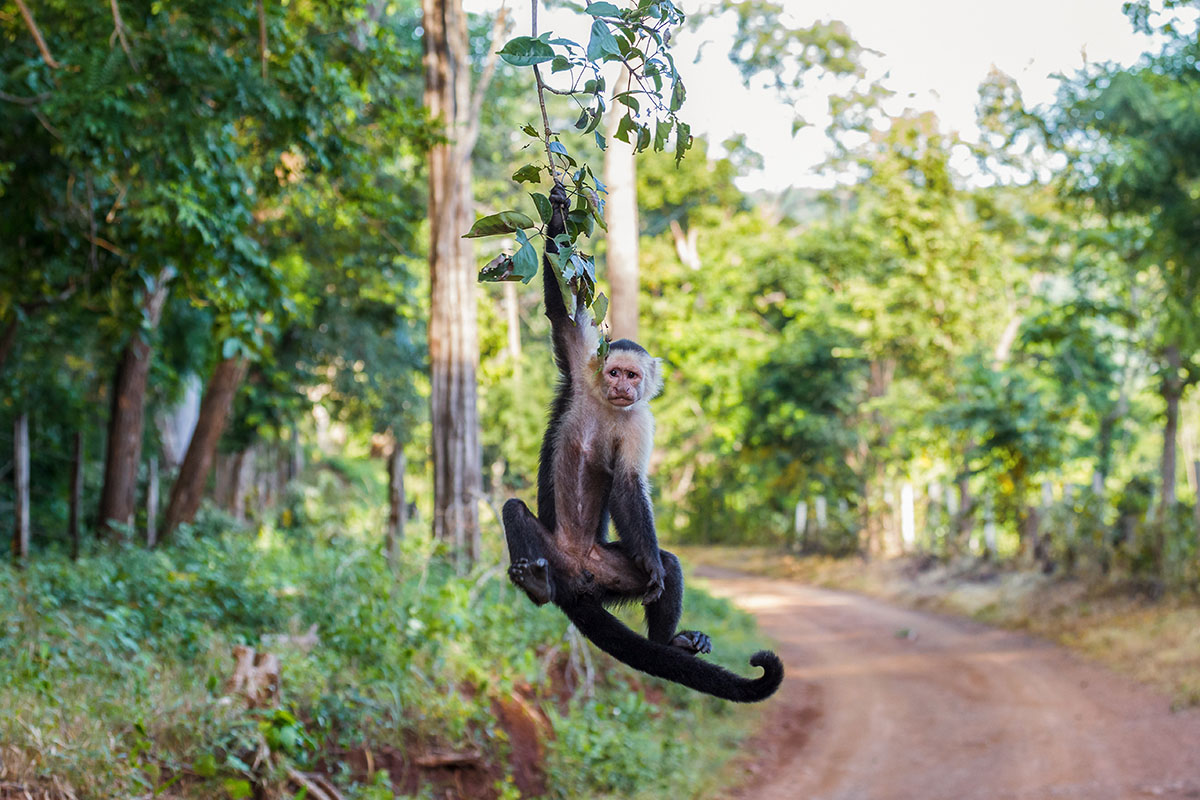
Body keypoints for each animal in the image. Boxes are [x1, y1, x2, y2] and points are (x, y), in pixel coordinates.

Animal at [501, 184, 782, 705]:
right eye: (614, 372)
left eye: (633, 376)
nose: (623, 387)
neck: (607, 403)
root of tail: (576, 584)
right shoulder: (583, 367)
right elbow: (560, 310)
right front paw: (559, 208)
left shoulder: (640, 420)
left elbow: (631, 487)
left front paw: (653, 564)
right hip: (551, 553)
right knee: (513, 510)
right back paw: (537, 586)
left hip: (608, 573)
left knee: (668, 566)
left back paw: (670, 641)